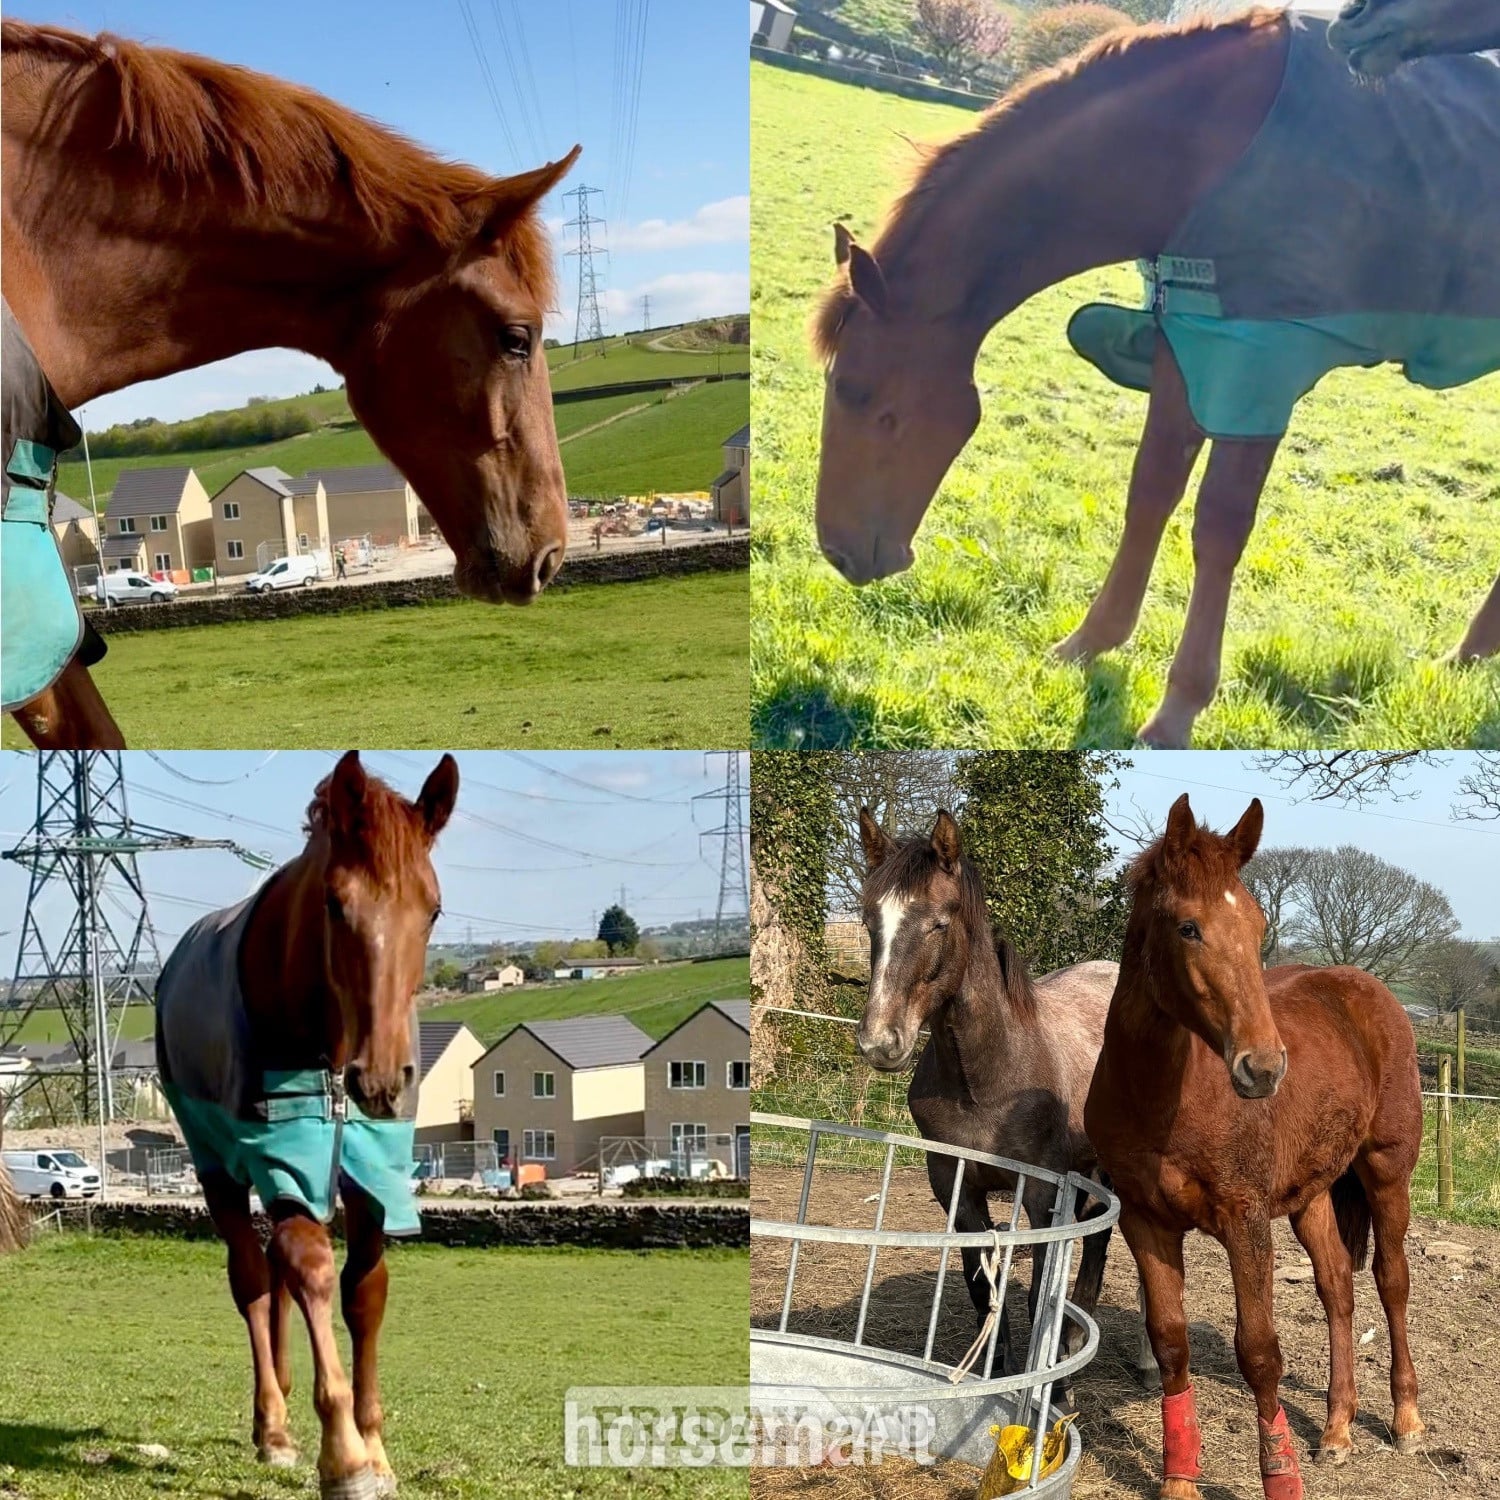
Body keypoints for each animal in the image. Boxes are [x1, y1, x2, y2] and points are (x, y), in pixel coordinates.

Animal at [154, 751, 458, 1500]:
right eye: (335, 903)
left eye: (432, 908)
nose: (380, 1080)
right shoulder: (282, 1160)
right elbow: (312, 1271)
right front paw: (345, 1457)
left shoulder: (372, 1176)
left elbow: (365, 1292)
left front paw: (375, 1447)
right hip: (218, 1165)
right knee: (252, 1278)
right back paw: (272, 1427)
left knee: (272, 1276)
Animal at [811, 9, 1500, 747]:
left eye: (862, 397)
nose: (841, 554)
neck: (1203, 145)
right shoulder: (1187, 339)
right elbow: (1150, 492)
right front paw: (1090, 641)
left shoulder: (1258, 360)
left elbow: (1219, 527)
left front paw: (1178, 709)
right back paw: (1468, 655)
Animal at [854, 807, 1140, 1382]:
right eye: (870, 921)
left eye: (939, 923)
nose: (880, 1042)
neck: (985, 1086)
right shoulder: (955, 1187)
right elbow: (984, 1290)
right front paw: (998, 1373)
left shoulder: (1043, 1195)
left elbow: (1039, 1296)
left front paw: (1054, 1381)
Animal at [1084, 795, 1424, 1500]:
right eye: (1188, 928)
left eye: (1260, 922)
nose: (1264, 1069)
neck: (1165, 1097)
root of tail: (1371, 992)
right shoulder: (1146, 1221)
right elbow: (1170, 1343)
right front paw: (1179, 1478)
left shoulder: (1244, 1221)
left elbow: (1261, 1351)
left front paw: (1280, 1477)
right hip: (1312, 1194)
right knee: (1336, 1288)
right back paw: (1337, 1429)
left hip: (1386, 1173)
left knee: (1391, 1280)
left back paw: (1406, 1419)